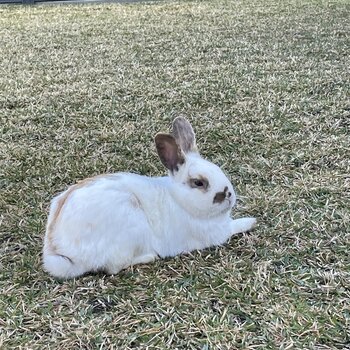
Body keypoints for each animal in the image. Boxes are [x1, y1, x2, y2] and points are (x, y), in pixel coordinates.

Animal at [43, 117, 258, 278]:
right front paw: (251, 221)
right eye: (199, 183)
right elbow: (234, 227)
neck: (179, 200)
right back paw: (149, 257)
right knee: (113, 267)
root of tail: (60, 251)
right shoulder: (218, 233)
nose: (229, 195)